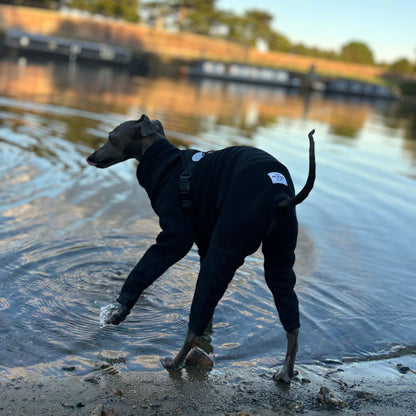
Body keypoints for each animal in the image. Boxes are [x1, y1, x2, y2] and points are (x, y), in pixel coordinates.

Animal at [88, 114, 316, 384]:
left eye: (111, 137)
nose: (91, 156)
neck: (168, 164)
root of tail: (279, 195)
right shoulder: (204, 243)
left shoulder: (177, 237)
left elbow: (145, 268)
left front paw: (119, 311)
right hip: (279, 257)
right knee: (291, 322)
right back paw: (285, 372)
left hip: (225, 250)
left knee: (196, 316)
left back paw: (175, 362)